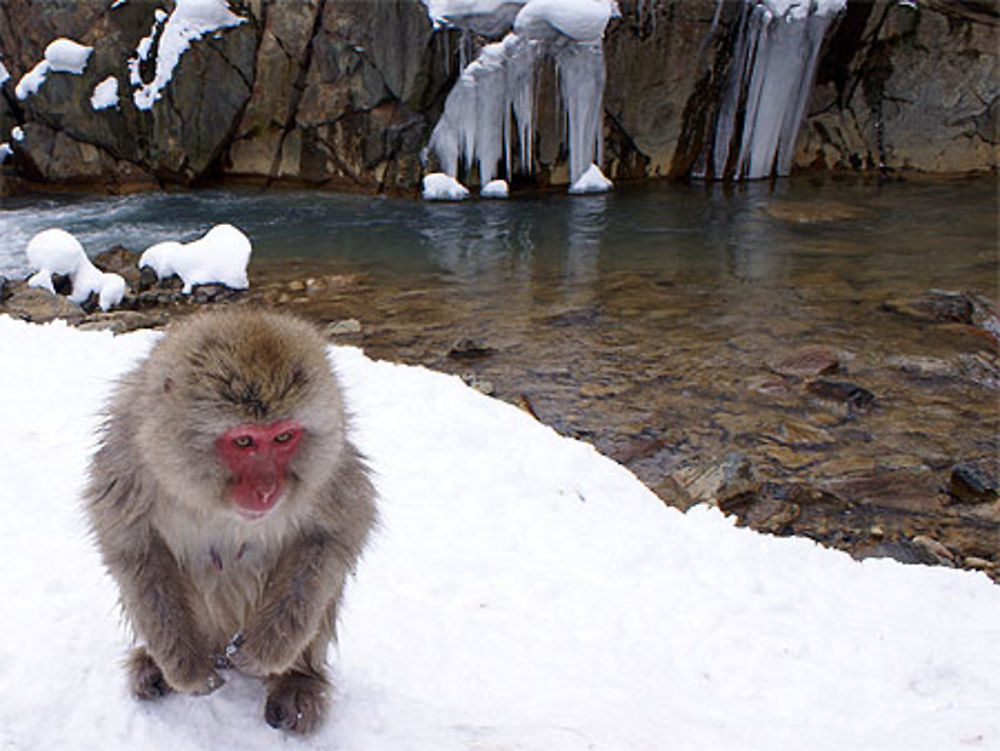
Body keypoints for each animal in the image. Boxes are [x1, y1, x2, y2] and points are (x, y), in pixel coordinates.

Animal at [84, 310, 376, 736]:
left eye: (283, 437)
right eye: (244, 442)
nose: (267, 490)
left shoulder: (331, 468)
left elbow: (338, 531)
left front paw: (264, 652)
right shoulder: (128, 460)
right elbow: (131, 545)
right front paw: (187, 670)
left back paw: (297, 681)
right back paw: (154, 666)